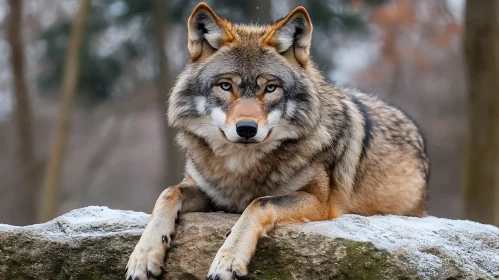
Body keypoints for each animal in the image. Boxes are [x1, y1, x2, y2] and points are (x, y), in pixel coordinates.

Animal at [124, 2, 430, 280]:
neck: (242, 168)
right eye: (226, 86)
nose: (246, 129)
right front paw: (143, 256)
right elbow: (167, 193)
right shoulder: (210, 193)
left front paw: (228, 260)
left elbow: (260, 203)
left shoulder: (318, 202)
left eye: (270, 88)